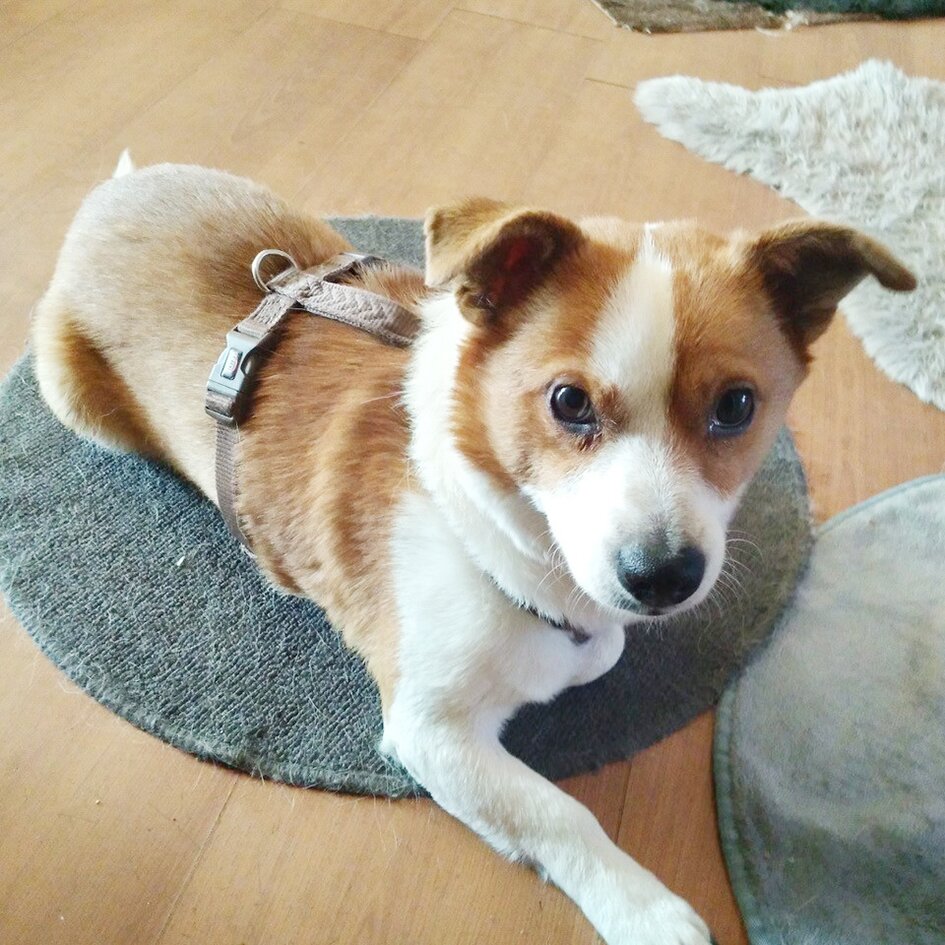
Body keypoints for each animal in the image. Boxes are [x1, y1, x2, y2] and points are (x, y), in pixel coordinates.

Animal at [31, 160, 915, 945]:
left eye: (735, 406)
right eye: (567, 402)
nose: (662, 576)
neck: (501, 536)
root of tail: (115, 191)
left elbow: (596, 654)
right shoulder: (429, 729)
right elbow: (556, 809)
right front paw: (642, 907)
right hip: (72, 394)